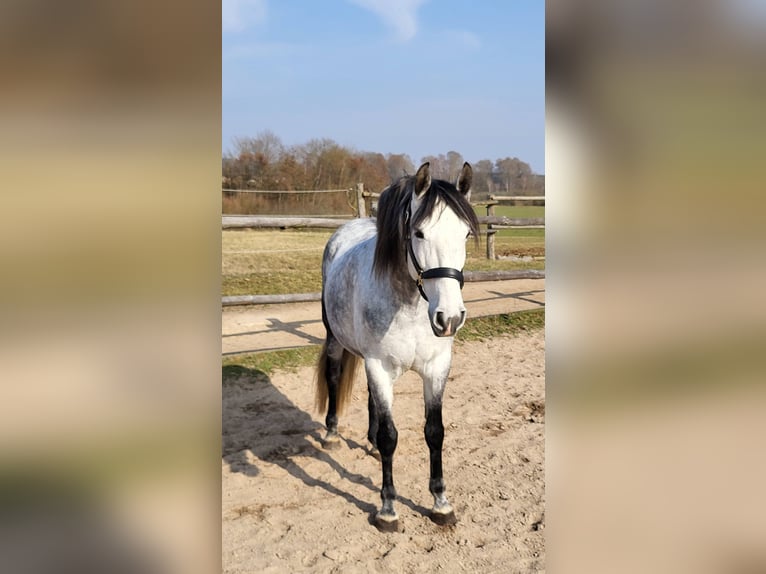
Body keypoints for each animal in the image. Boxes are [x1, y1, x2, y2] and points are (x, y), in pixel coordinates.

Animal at [314, 161, 480, 532]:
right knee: (333, 375)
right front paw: (388, 509)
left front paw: (441, 504)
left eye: (465, 234)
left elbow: (434, 432)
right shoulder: (379, 366)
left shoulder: (436, 368)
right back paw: (332, 434)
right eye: (418, 233)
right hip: (335, 338)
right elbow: (391, 436)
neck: (413, 307)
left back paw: (370, 442)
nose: (450, 318)